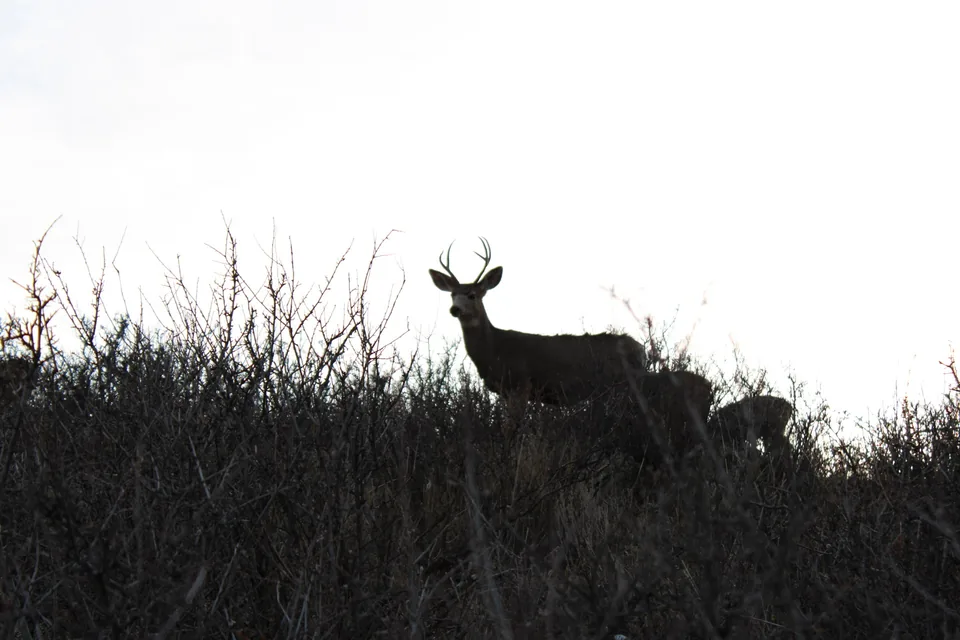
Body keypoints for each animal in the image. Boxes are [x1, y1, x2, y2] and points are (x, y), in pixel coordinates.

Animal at [429, 238, 714, 464]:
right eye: (452, 294)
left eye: (473, 295)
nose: (455, 309)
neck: (494, 349)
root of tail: (641, 349)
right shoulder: (506, 391)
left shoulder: (521, 384)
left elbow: (512, 430)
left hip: (620, 385)